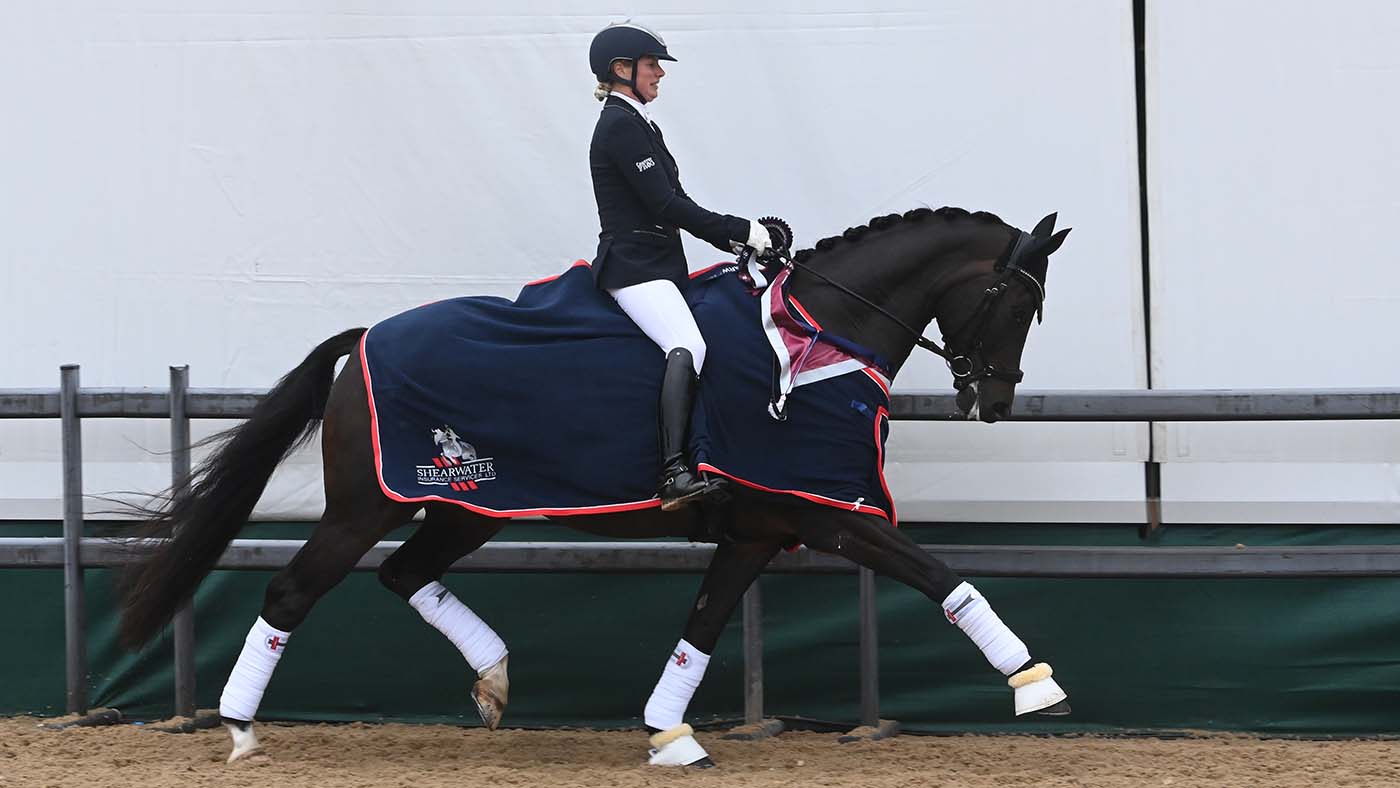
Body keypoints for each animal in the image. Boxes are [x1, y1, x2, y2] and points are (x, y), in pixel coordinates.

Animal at [117, 207, 1069, 767]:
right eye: (1014, 301)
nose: (994, 401)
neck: (817, 339)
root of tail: (363, 339)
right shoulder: (821, 511)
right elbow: (939, 574)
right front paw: (1034, 683)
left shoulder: (757, 530)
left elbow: (702, 627)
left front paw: (669, 733)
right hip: (368, 505)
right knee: (293, 590)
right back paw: (241, 731)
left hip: (469, 506)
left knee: (402, 573)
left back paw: (494, 680)